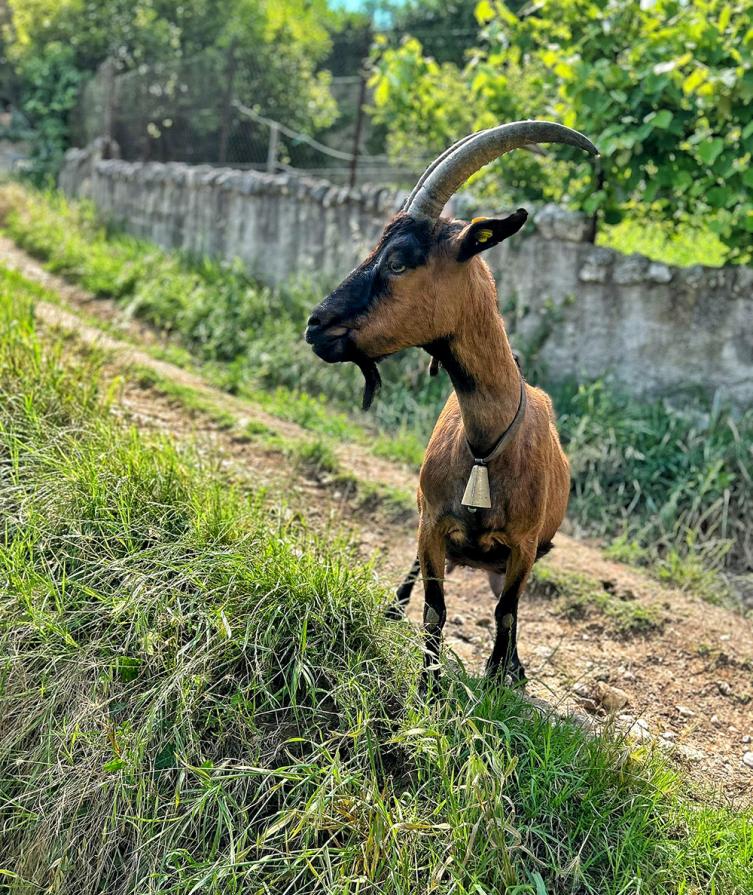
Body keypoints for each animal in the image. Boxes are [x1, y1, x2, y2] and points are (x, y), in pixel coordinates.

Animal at [302, 122, 596, 688]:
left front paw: (505, 673)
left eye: (397, 260)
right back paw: (392, 606)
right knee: (416, 578)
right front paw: (427, 683)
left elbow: (507, 612)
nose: (315, 325)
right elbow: (434, 608)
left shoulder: (524, 547)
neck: (486, 445)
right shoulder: (433, 526)